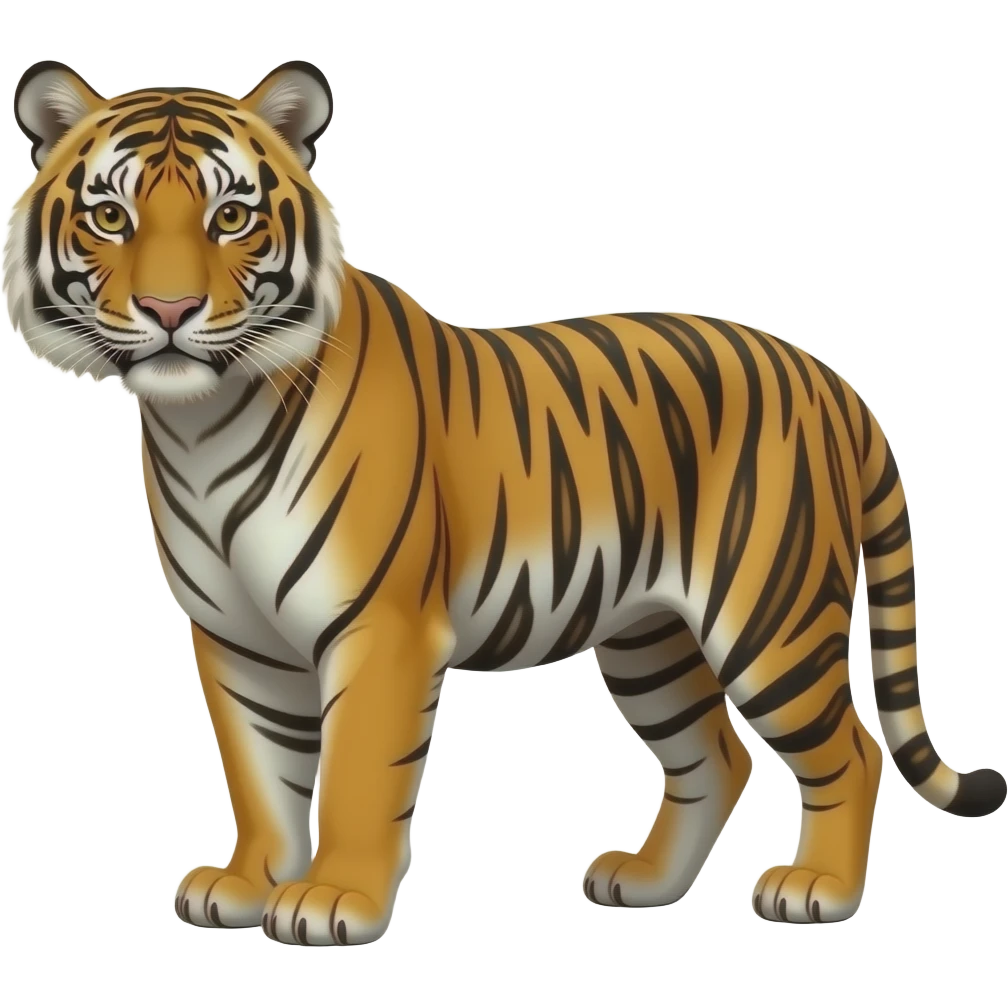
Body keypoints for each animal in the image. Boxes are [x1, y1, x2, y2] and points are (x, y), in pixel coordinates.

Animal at [4, 57, 1004, 946]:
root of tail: (829, 378)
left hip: (770, 617)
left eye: (232, 217)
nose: (170, 312)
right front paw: (248, 885)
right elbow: (261, 775)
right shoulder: (236, 639)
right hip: (650, 638)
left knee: (853, 752)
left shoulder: (379, 629)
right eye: (110, 216)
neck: (200, 423)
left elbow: (354, 775)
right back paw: (644, 883)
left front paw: (332, 901)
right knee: (715, 758)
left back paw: (818, 889)